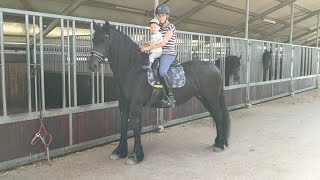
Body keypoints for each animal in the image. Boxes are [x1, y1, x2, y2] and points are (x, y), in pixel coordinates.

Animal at [87, 21, 230, 165]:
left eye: (105, 40)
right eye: (93, 40)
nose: (92, 65)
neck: (132, 70)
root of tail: (215, 67)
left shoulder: (135, 105)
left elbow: (136, 127)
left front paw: (135, 155)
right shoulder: (123, 104)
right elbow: (123, 126)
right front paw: (119, 152)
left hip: (212, 99)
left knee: (218, 117)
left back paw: (219, 145)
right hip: (205, 99)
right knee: (215, 117)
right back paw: (218, 142)